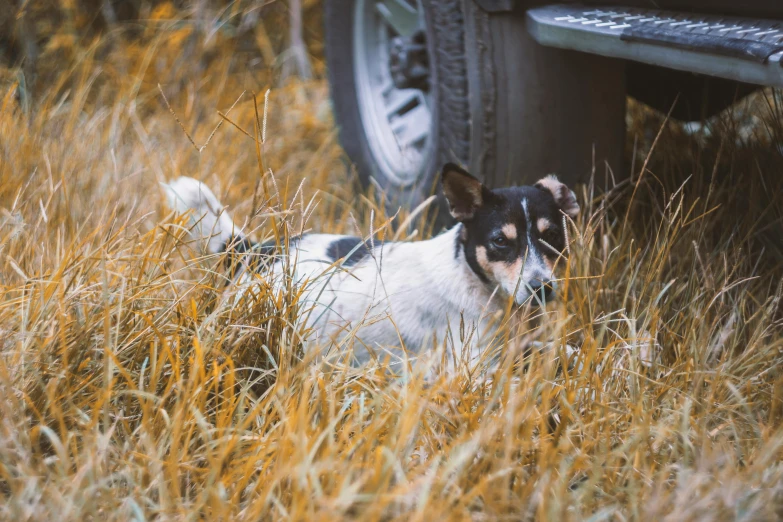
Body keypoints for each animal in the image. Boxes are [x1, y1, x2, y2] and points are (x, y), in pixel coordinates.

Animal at [162, 162, 580, 366]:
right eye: (500, 242)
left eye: (552, 238)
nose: (541, 288)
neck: (472, 277)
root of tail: (252, 251)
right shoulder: (477, 368)